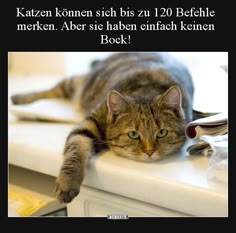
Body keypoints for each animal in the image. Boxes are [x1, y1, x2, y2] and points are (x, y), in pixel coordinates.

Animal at [11, 52, 194, 203]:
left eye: (162, 133)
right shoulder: (89, 124)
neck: (145, 89)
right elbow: (75, 150)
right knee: (54, 89)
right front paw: (67, 183)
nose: (149, 151)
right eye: (133, 135)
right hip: (77, 84)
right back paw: (19, 98)